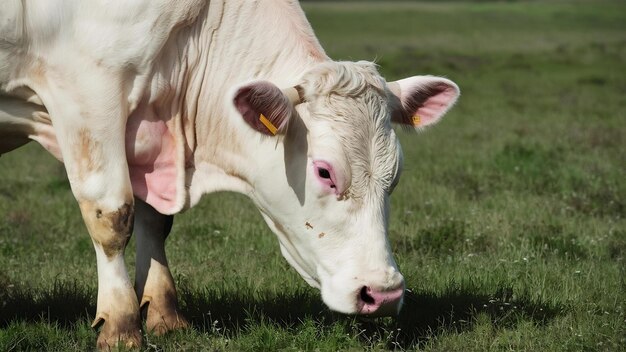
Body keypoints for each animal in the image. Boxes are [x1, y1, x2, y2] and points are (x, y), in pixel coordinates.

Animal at [0, 0, 458, 350]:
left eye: (394, 174)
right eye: (325, 172)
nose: (383, 294)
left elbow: (155, 221)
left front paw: (164, 314)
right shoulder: (88, 95)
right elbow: (112, 217)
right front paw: (120, 324)